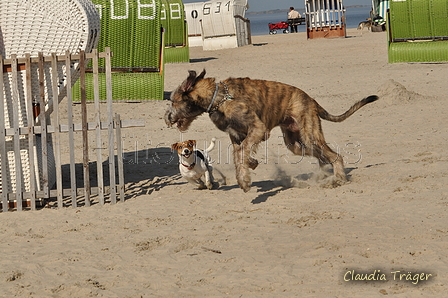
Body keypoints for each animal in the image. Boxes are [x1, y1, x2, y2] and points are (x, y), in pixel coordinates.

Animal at [164, 70, 378, 192]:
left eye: (173, 101)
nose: (166, 117)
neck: (220, 98)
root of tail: (311, 100)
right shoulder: (236, 135)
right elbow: (238, 154)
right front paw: (250, 165)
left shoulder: (258, 129)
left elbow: (242, 152)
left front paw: (244, 180)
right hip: (294, 142)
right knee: (322, 156)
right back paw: (325, 173)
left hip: (309, 135)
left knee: (335, 156)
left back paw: (339, 178)